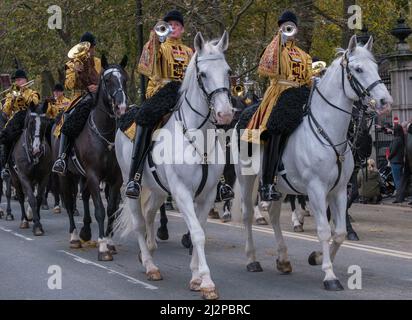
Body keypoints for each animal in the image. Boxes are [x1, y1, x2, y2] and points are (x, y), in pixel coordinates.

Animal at [52, 56, 128, 262]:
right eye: (108, 80)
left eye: (125, 79)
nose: (121, 107)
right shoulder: (94, 175)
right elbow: (100, 210)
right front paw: (102, 248)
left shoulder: (115, 179)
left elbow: (111, 209)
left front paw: (109, 242)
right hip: (66, 176)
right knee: (70, 203)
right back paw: (74, 237)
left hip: (82, 176)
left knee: (85, 197)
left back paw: (85, 230)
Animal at [114, 31, 233, 298]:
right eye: (203, 74)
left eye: (228, 71)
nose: (225, 114)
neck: (197, 137)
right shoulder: (182, 193)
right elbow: (197, 234)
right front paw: (207, 282)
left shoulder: (207, 195)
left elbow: (200, 230)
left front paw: (196, 277)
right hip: (131, 183)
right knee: (139, 222)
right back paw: (150, 265)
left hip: (158, 189)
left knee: (149, 213)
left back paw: (148, 250)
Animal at [235, 35, 392, 290]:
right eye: (358, 69)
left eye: (376, 68)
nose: (385, 101)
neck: (329, 133)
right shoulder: (316, 189)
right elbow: (324, 230)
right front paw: (329, 275)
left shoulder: (339, 190)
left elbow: (339, 231)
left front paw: (317, 257)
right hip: (246, 177)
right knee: (248, 213)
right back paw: (252, 260)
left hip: (279, 186)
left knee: (275, 215)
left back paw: (283, 259)